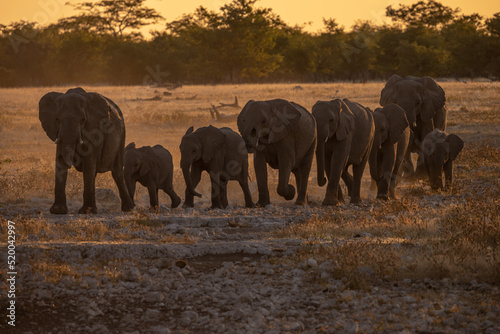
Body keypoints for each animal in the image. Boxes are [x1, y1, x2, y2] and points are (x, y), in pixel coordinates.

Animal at [39, 87, 134, 215]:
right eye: (57, 119)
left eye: (83, 120)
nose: (62, 157)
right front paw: (58, 211)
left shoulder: (94, 128)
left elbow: (89, 161)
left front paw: (86, 212)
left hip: (122, 134)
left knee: (117, 172)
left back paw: (128, 209)